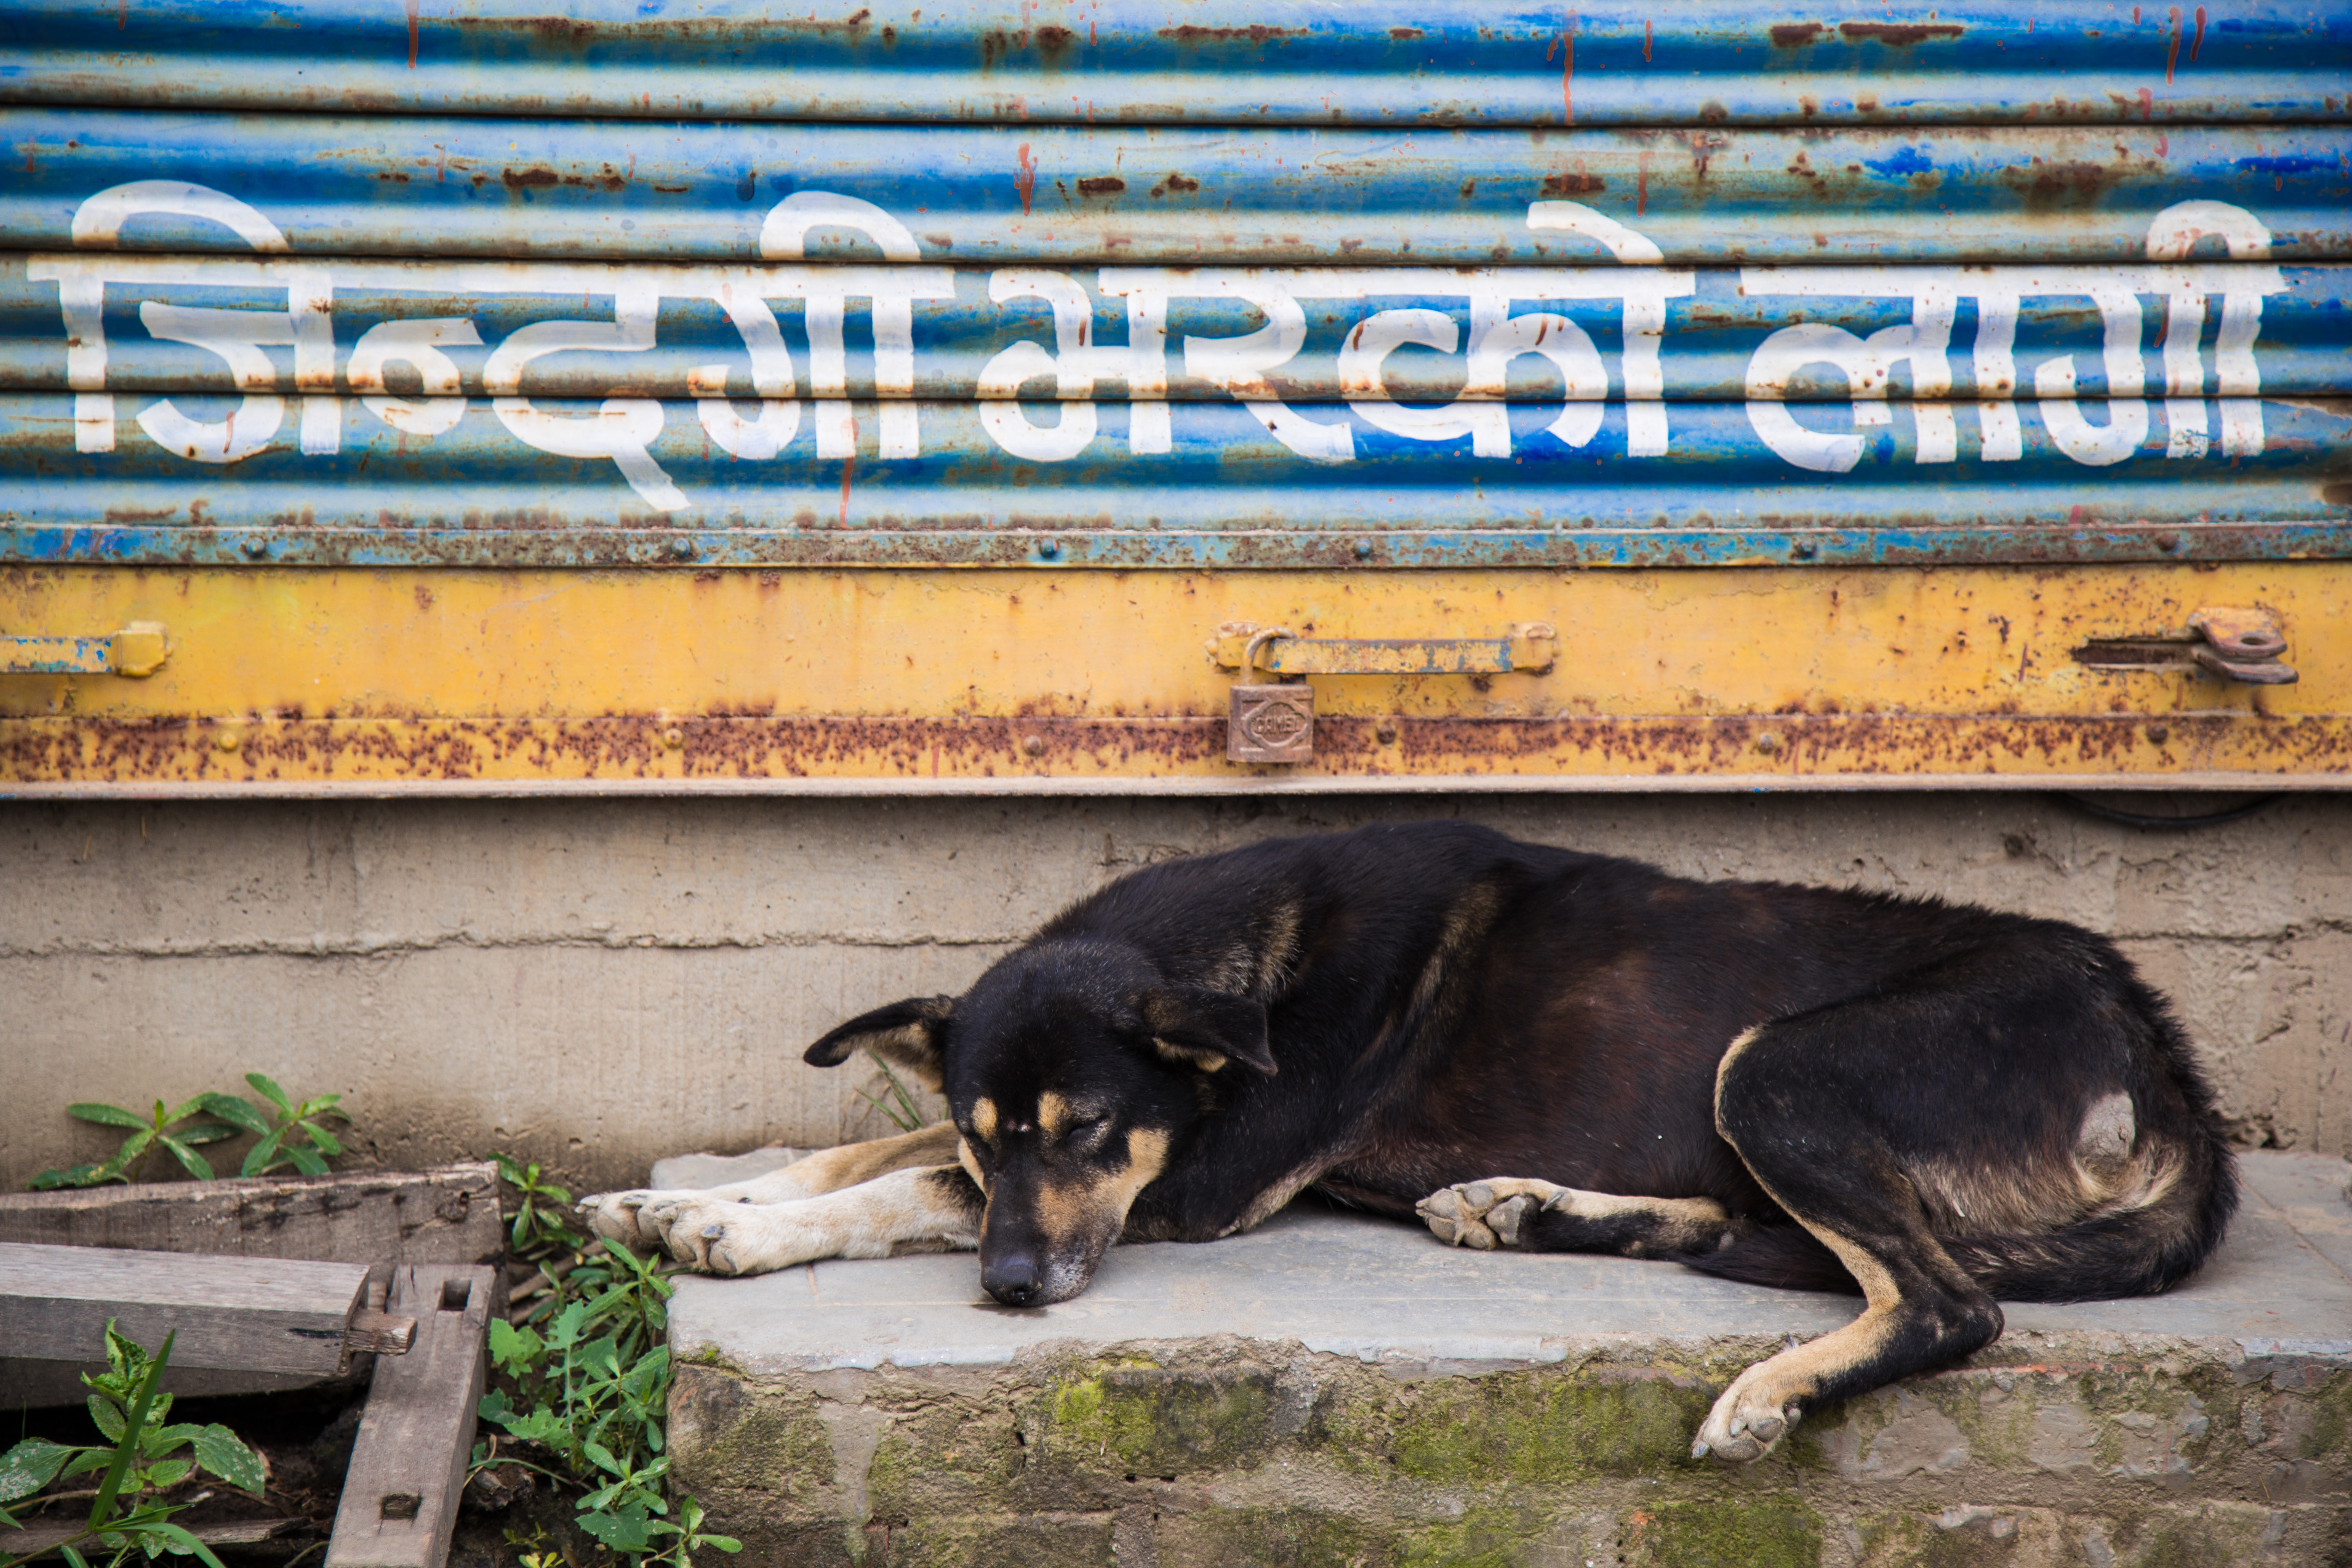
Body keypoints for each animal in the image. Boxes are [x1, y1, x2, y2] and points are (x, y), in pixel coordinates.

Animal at [579, 827, 2230, 1467]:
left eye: (1093, 1129)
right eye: (1011, 1139)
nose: (1012, 1289)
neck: (1252, 969)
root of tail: (2157, 1036)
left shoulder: (1185, 1183)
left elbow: (902, 1179)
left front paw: (736, 1230)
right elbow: (887, 1149)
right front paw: (670, 1201)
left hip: (1782, 1063)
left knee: (1946, 1299)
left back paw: (1765, 1393)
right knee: (1765, 1234)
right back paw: (1522, 1208)